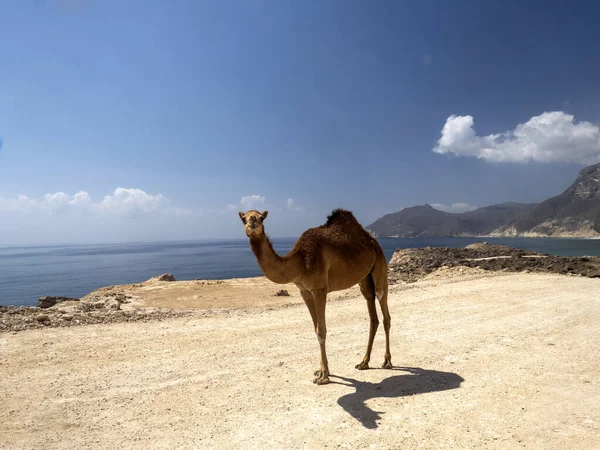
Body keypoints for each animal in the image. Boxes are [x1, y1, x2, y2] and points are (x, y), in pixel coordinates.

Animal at [239, 209, 394, 384]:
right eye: (243, 218)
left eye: (261, 218)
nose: (252, 222)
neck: (299, 261)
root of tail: (374, 242)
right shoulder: (305, 291)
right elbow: (315, 329)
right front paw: (320, 370)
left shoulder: (319, 289)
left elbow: (322, 330)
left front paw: (324, 376)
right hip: (364, 279)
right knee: (372, 314)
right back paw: (364, 362)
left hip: (380, 266)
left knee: (385, 311)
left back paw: (387, 361)